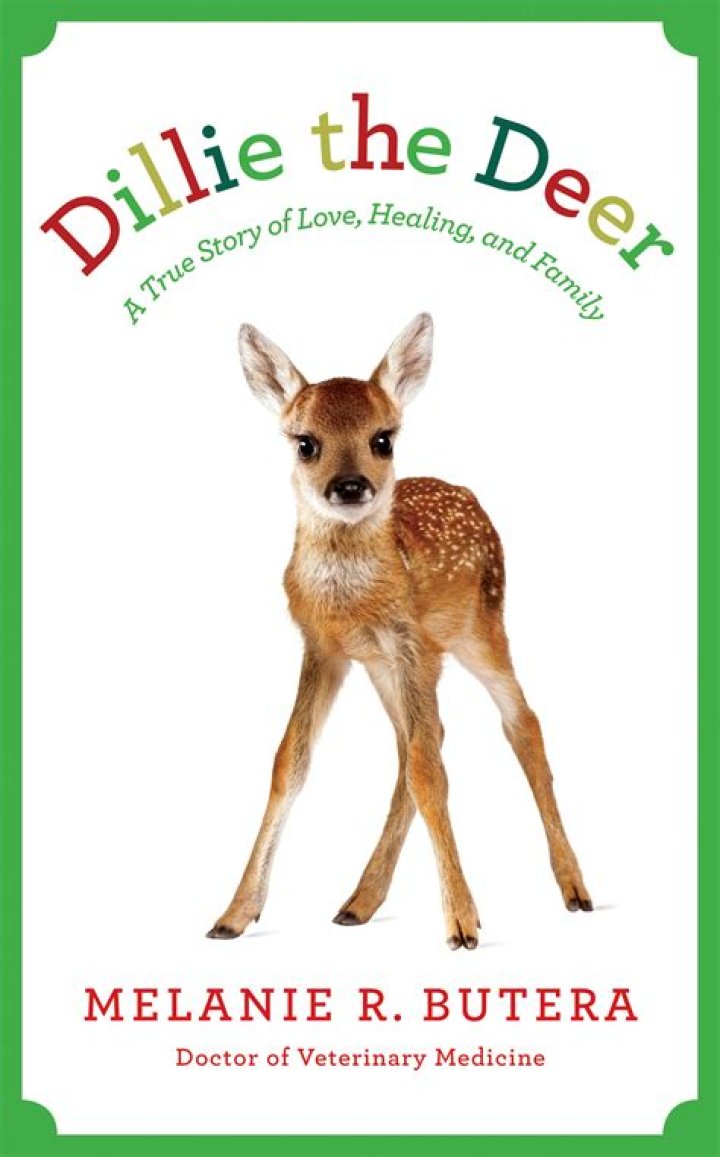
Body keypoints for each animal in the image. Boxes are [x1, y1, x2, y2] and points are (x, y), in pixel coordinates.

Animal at [207, 313, 592, 950]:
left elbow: (427, 770)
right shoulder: (326, 649)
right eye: (305, 442)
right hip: (396, 666)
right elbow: (291, 761)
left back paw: (575, 889)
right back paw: (359, 902)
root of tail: (467, 493)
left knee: (519, 724)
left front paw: (461, 923)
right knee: (421, 742)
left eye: (383, 439)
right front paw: (234, 914)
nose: (350, 486)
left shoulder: (409, 642)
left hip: (480, 629)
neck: (352, 602)